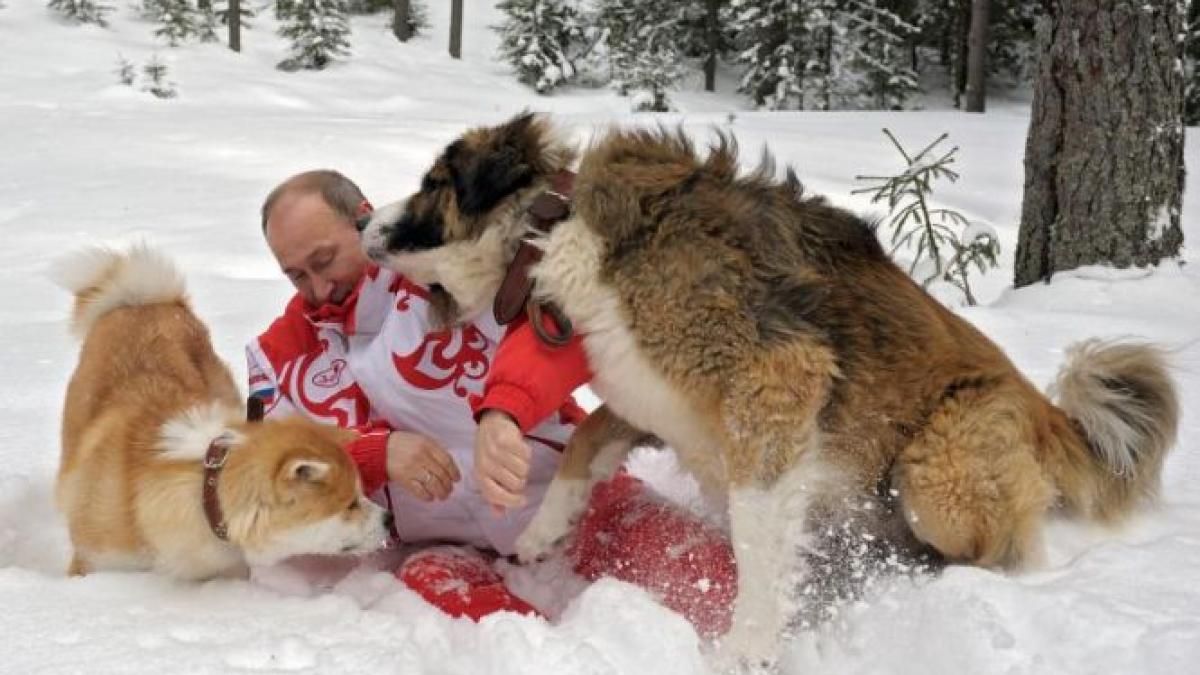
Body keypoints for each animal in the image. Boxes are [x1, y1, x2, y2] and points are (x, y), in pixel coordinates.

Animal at [357, 112, 1180, 658]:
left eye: (433, 184)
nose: (365, 222)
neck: (559, 230)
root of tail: (1047, 413)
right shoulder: (652, 394)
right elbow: (586, 438)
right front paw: (540, 530)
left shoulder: (773, 383)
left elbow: (755, 536)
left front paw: (748, 646)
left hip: (936, 470)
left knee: (999, 549)